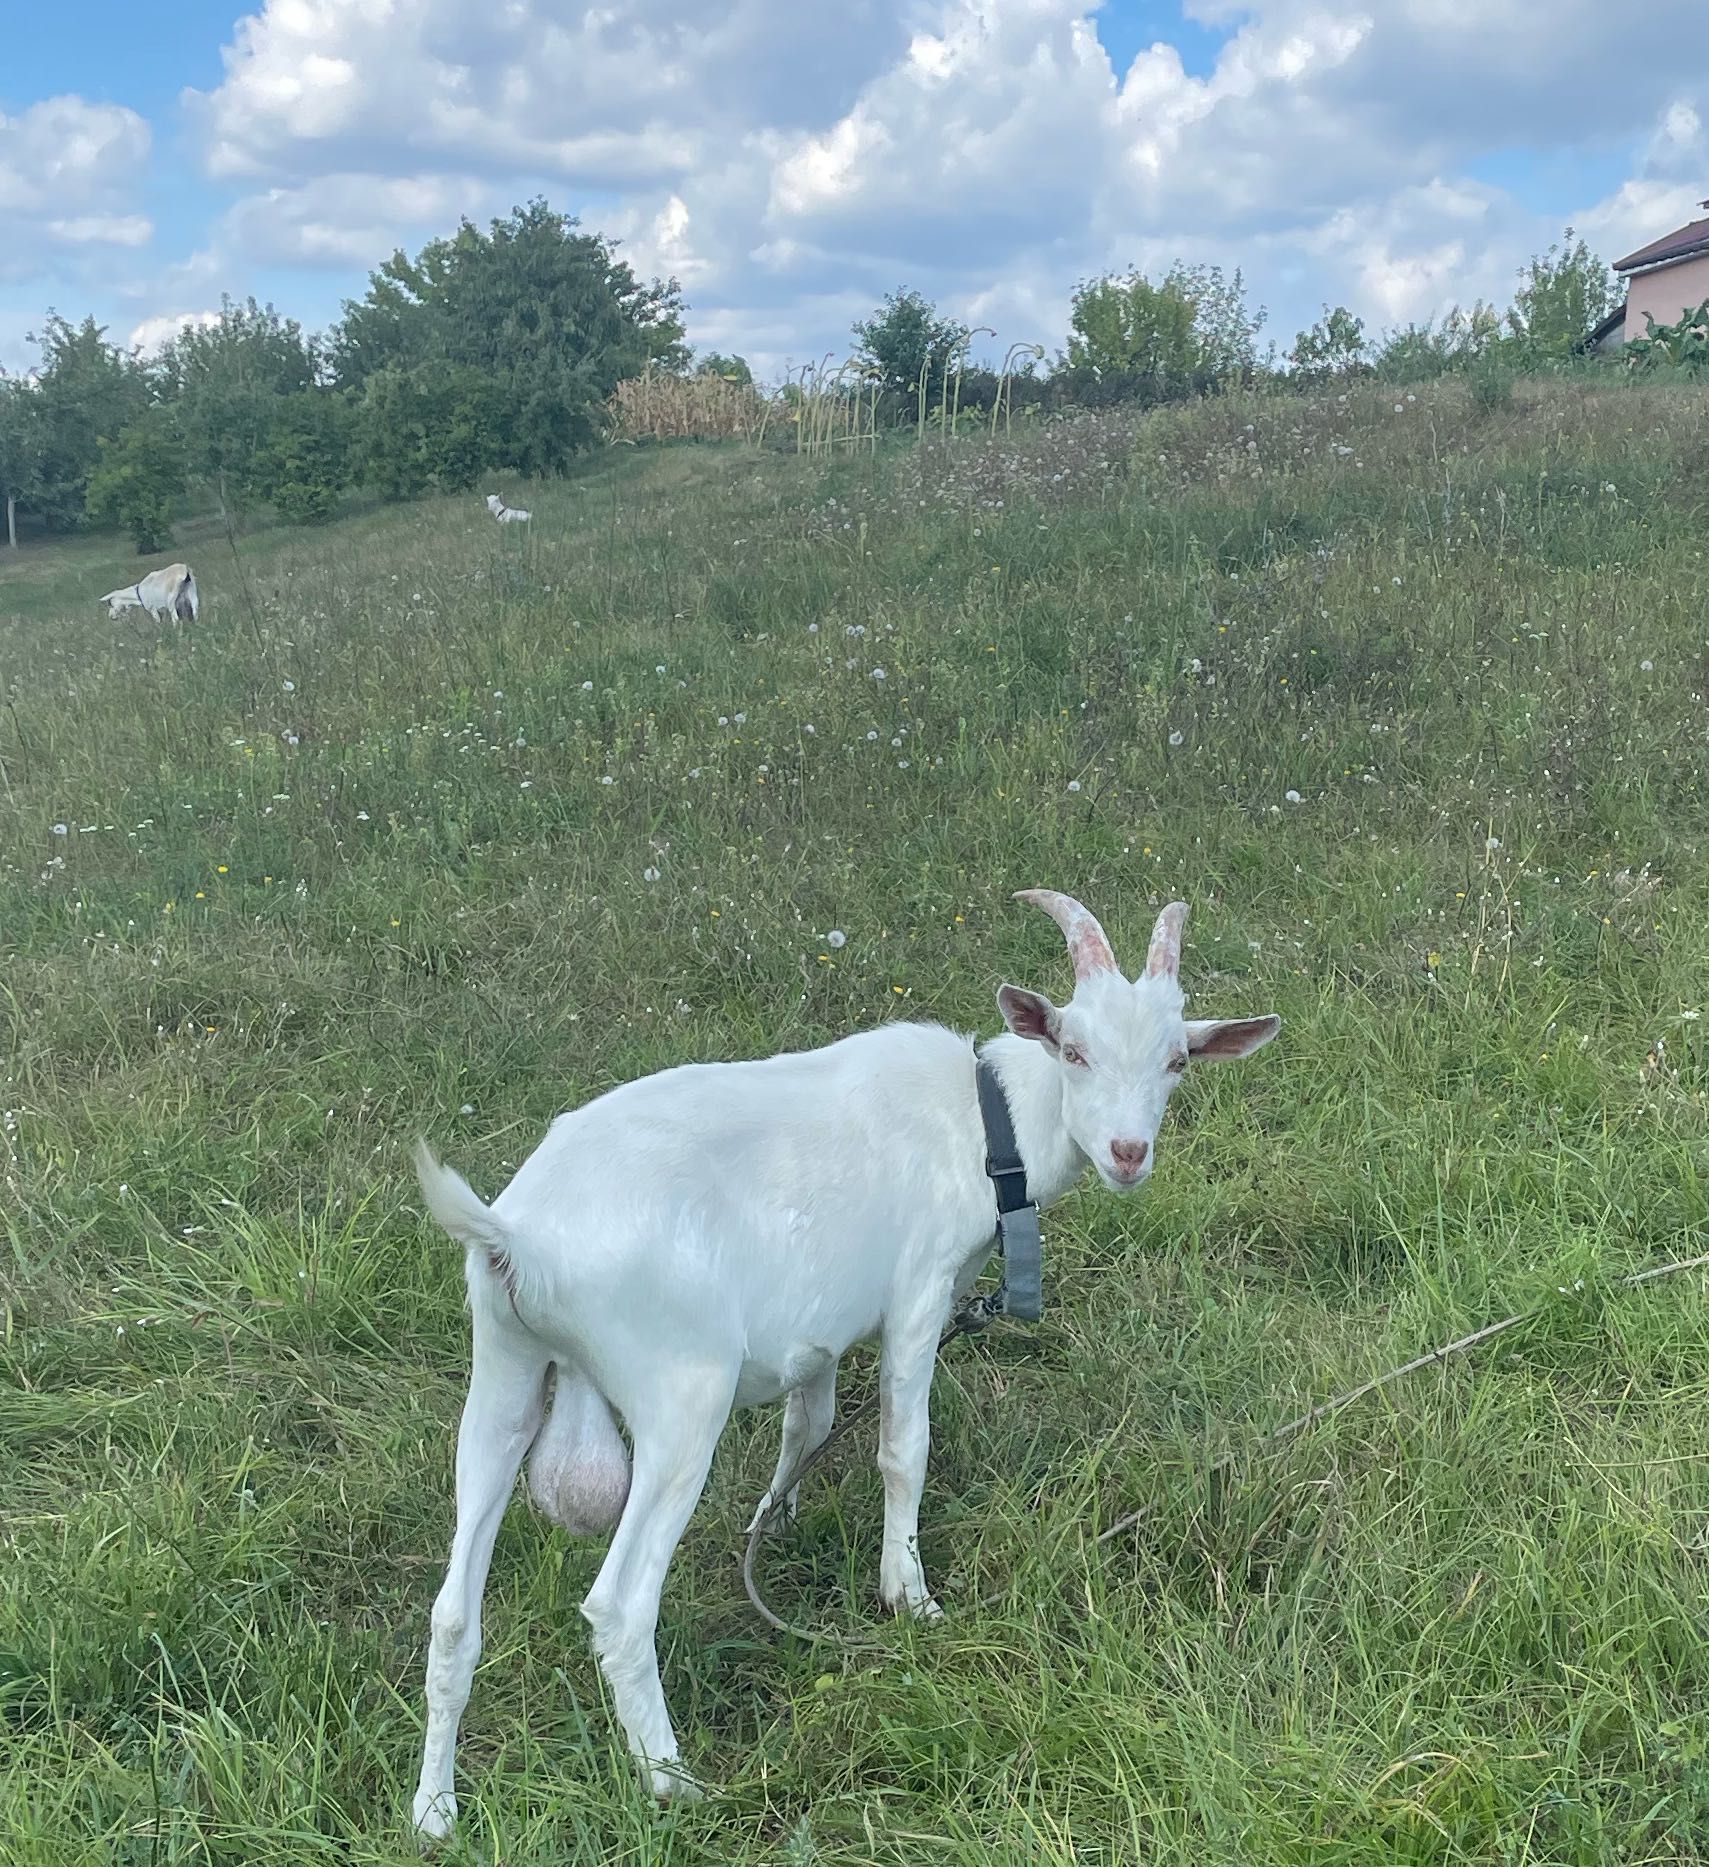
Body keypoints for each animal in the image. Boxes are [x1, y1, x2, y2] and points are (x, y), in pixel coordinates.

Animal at [407, 892, 1277, 1837]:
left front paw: (774, 1520)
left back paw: (434, 1810)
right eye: (1073, 1049)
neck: (988, 1121)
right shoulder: (920, 1289)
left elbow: (810, 1419)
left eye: (1176, 1060)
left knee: (453, 1610)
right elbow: (903, 1448)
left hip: (501, 1367)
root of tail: (517, 1238)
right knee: (620, 1602)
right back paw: (674, 1781)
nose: (1126, 1152)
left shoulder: (814, 1321)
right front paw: (909, 1594)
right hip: (681, 1387)